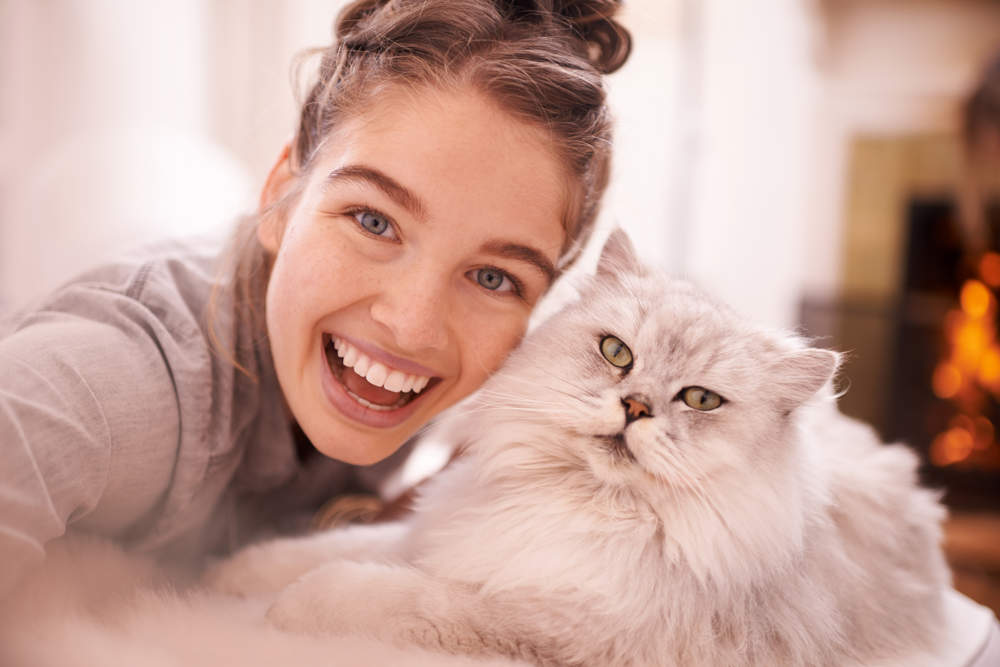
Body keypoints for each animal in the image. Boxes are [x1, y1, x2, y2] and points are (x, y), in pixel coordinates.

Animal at [209, 231, 952, 667]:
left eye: (700, 400)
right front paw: (236, 573)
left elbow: (379, 592)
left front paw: (288, 609)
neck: (579, 504)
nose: (636, 407)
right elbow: (323, 550)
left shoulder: (557, 624)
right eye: (617, 354)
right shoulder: (445, 535)